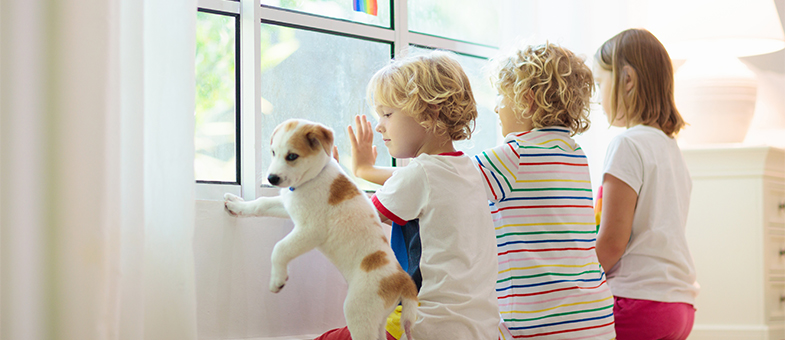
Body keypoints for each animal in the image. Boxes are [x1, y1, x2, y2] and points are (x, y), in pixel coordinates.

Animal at [224, 118, 420, 338]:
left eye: (292, 156)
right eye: (273, 152)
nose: (271, 178)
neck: (313, 177)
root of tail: (403, 280)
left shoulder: (311, 230)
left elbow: (280, 248)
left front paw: (277, 279)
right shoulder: (288, 206)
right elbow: (261, 204)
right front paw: (237, 205)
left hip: (359, 311)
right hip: (378, 320)